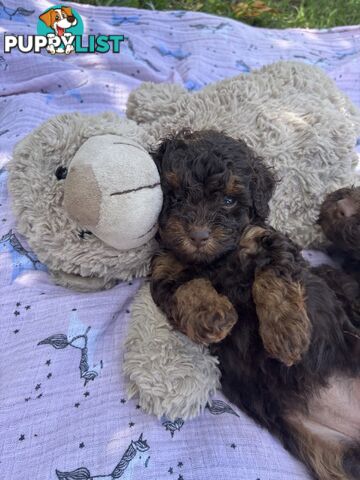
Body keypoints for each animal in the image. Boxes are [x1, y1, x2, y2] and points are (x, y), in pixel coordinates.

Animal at [150, 129, 360, 478]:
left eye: (228, 200)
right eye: (176, 196)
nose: (198, 235)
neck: (217, 260)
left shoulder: (269, 242)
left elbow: (273, 281)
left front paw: (286, 334)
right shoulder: (166, 269)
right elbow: (189, 288)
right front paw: (213, 315)